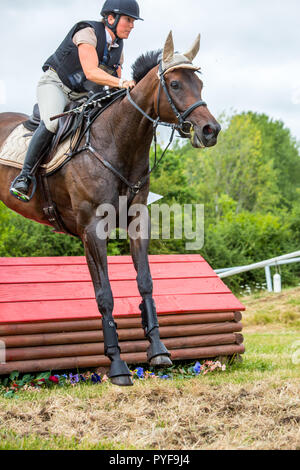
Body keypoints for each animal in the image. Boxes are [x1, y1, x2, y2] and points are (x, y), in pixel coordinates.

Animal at [0, 32, 220, 386]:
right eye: (174, 84)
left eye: (199, 83)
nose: (210, 131)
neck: (118, 141)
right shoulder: (91, 229)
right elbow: (104, 294)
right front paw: (117, 364)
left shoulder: (137, 221)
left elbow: (145, 281)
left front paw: (158, 349)